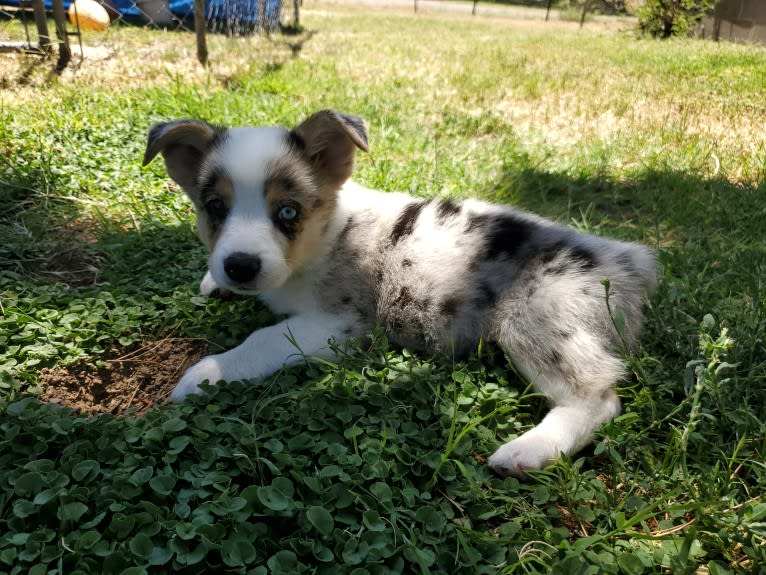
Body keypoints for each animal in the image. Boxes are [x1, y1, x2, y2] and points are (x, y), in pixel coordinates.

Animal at [141, 109, 656, 476]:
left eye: (288, 212)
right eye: (214, 207)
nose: (240, 266)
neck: (325, 234)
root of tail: (625, 263)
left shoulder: (341, 322)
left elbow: (261, 339)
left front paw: (205, 373)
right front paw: (214, 282)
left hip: (536, 318)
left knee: (598, 397)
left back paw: (528, 449)